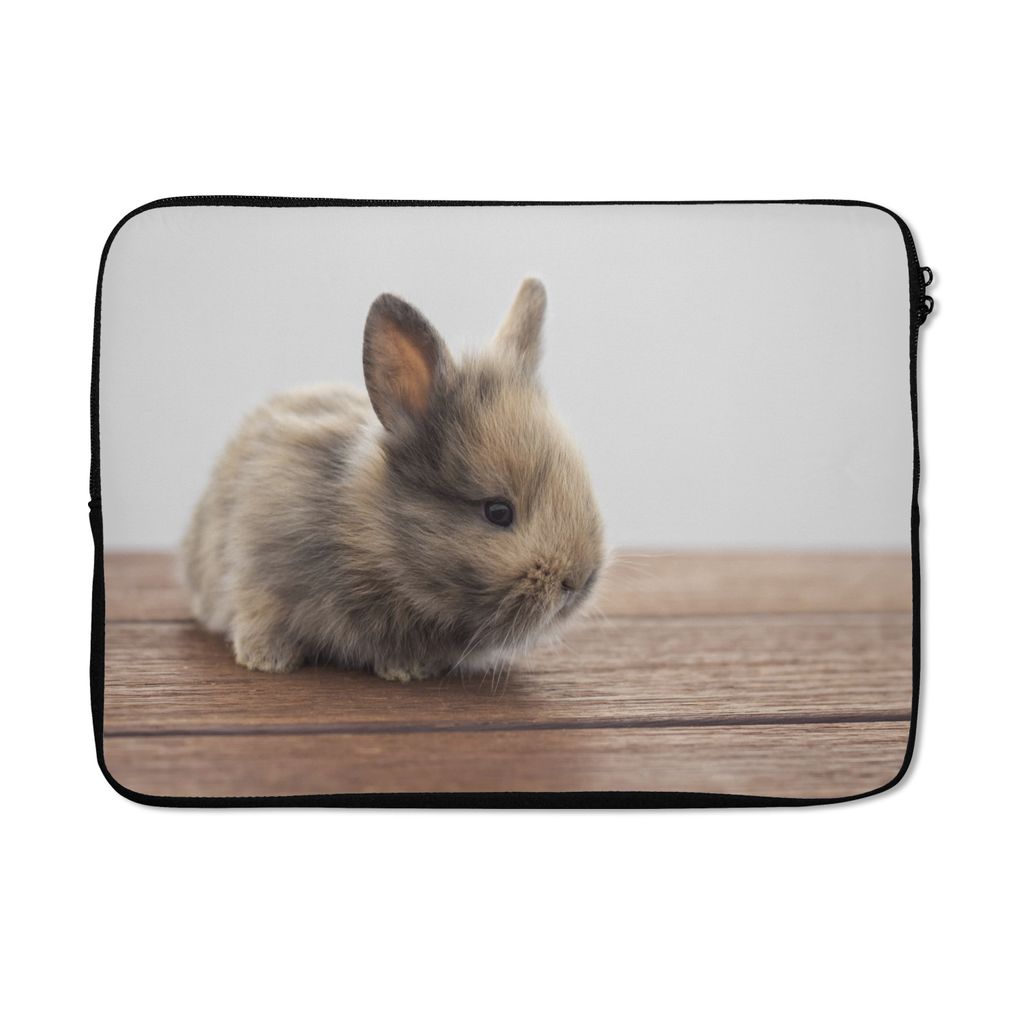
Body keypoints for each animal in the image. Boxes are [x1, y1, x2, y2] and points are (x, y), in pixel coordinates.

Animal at [182, 279, 605, 681]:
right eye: (498, 512)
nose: (578, 581)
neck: (370, 539)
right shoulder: (259, 568)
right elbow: (261, 613)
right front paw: (267, 660)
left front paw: (408, 669)